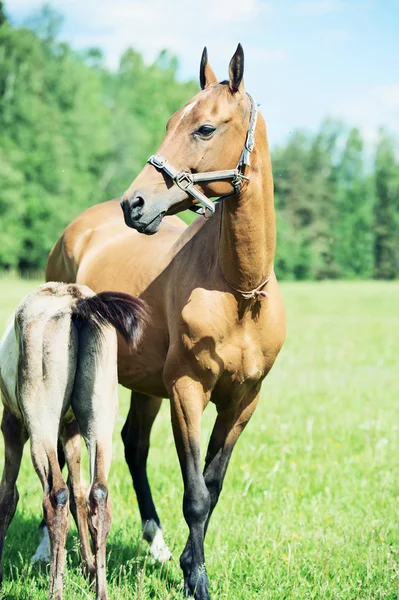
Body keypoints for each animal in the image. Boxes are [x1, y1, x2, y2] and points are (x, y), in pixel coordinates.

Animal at [0, 282, 147, 600]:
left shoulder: (12, 425)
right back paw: (101, 591)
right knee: (98, 494)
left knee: (55, 496)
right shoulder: (71, 430)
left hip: (40, 425)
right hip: (99, 423)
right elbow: (79, 493)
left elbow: (8, 496)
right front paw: (88, 568)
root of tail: (77, 306)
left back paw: (56, 591)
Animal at [46, 44, 284, 596]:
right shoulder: (187, 390)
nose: (134, 204)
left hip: (143, 382)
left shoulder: (243, 401)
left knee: (132, 445)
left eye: (205, 128)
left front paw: (187, 563)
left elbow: (212, 486)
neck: (239, 293)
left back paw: (154, 544)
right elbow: (194, 492)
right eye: (171, 121)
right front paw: (196, 579)